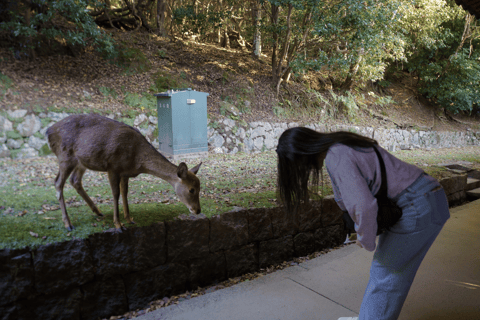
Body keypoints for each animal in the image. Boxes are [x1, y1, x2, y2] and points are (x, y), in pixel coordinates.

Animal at [46, 114, 202, 231]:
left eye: (200, 187)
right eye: (191, 190)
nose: (198, 210)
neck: (137, 160)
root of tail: (48, 131)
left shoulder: (125, 172)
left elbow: (125, 192)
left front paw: (129, 219)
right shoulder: (113, 167)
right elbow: (116, 194)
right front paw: (118, 225)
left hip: (81, 162)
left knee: (75, 180)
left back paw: (97, 211)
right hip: (65, 156)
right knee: (58, 183)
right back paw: (68, 224)